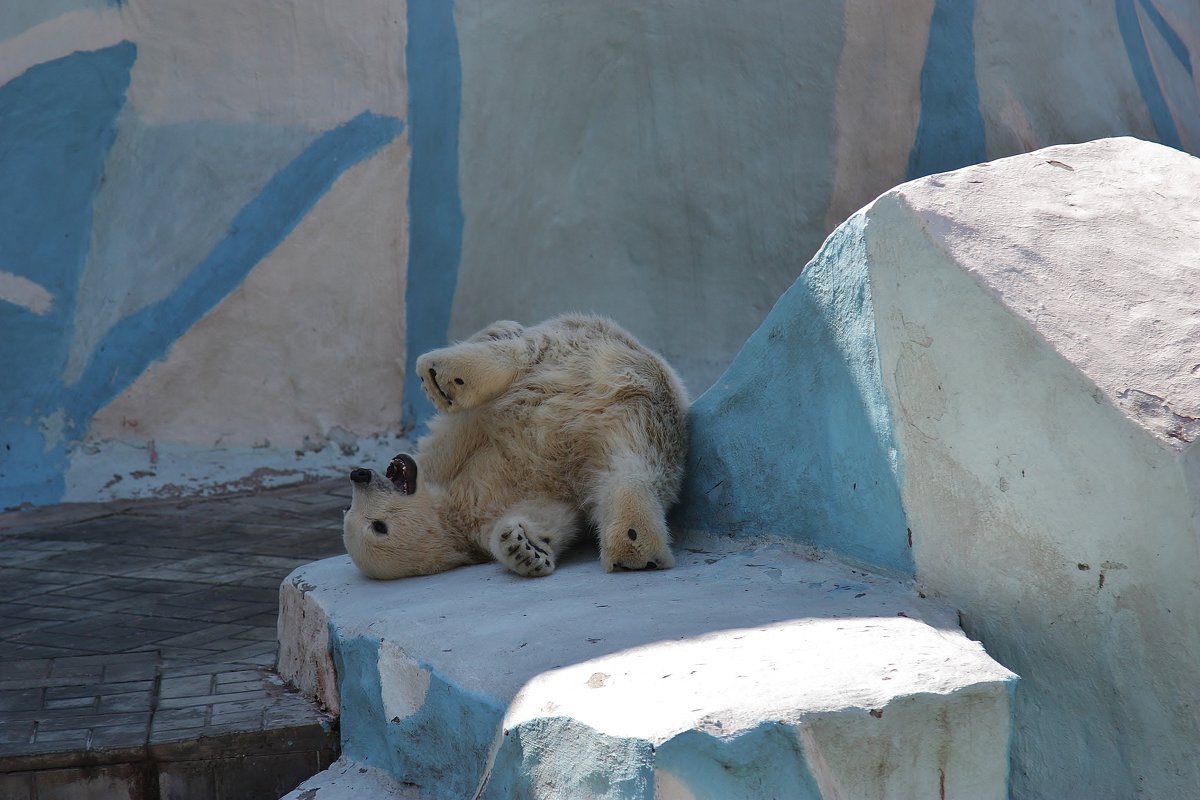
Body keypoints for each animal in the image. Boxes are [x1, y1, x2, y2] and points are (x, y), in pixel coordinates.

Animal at [343, 314, 691, 582]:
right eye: (377, 526)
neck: (454, 508)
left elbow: (462, 426)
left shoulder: (451, 452)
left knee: (520, 354)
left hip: (566, 351)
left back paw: (443, 375)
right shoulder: (492, 514)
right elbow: (551, 517)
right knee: (629, 468)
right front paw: (525, 549)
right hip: (630, 412)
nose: (359, 475)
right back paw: (634, 543)